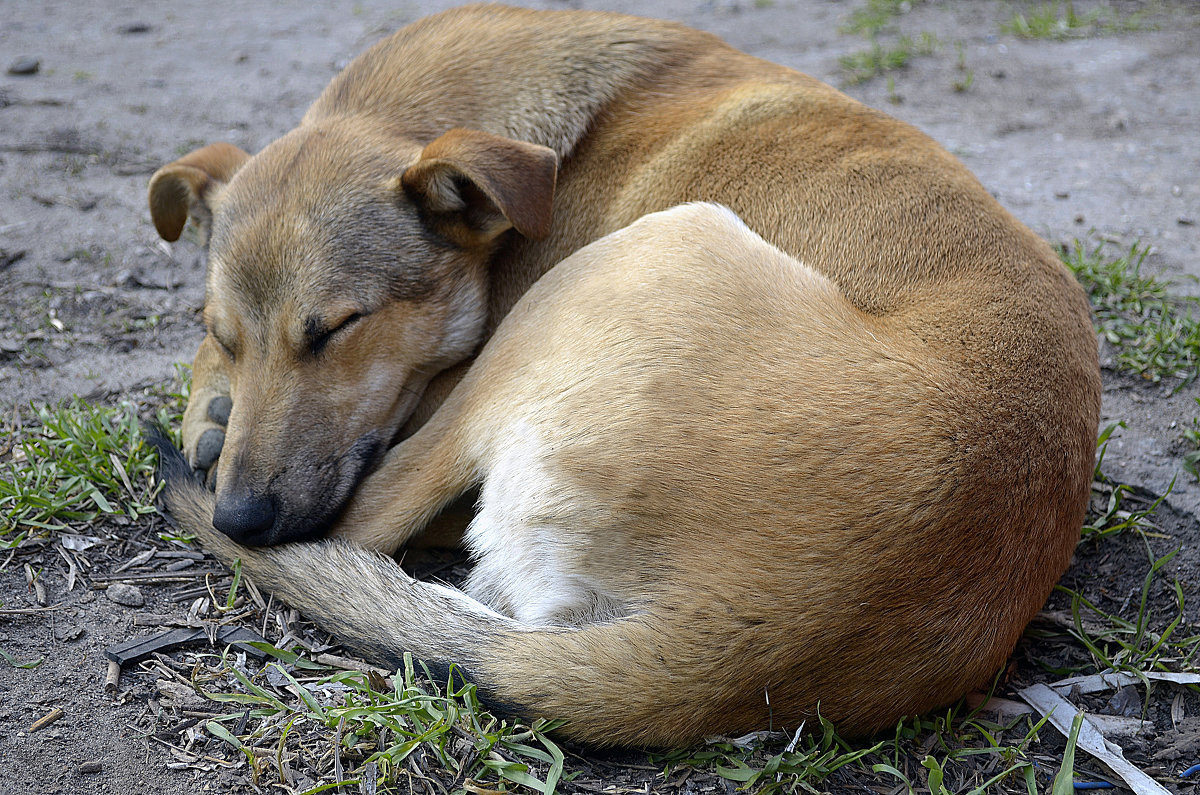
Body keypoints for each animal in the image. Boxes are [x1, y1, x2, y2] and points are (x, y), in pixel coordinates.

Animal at [145, 4, 1099, 749]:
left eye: (338, 329)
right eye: (224, 331)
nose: (241, 517)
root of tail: (746, 639)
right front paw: (212, 398)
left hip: (635, 259)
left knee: (375, 516)